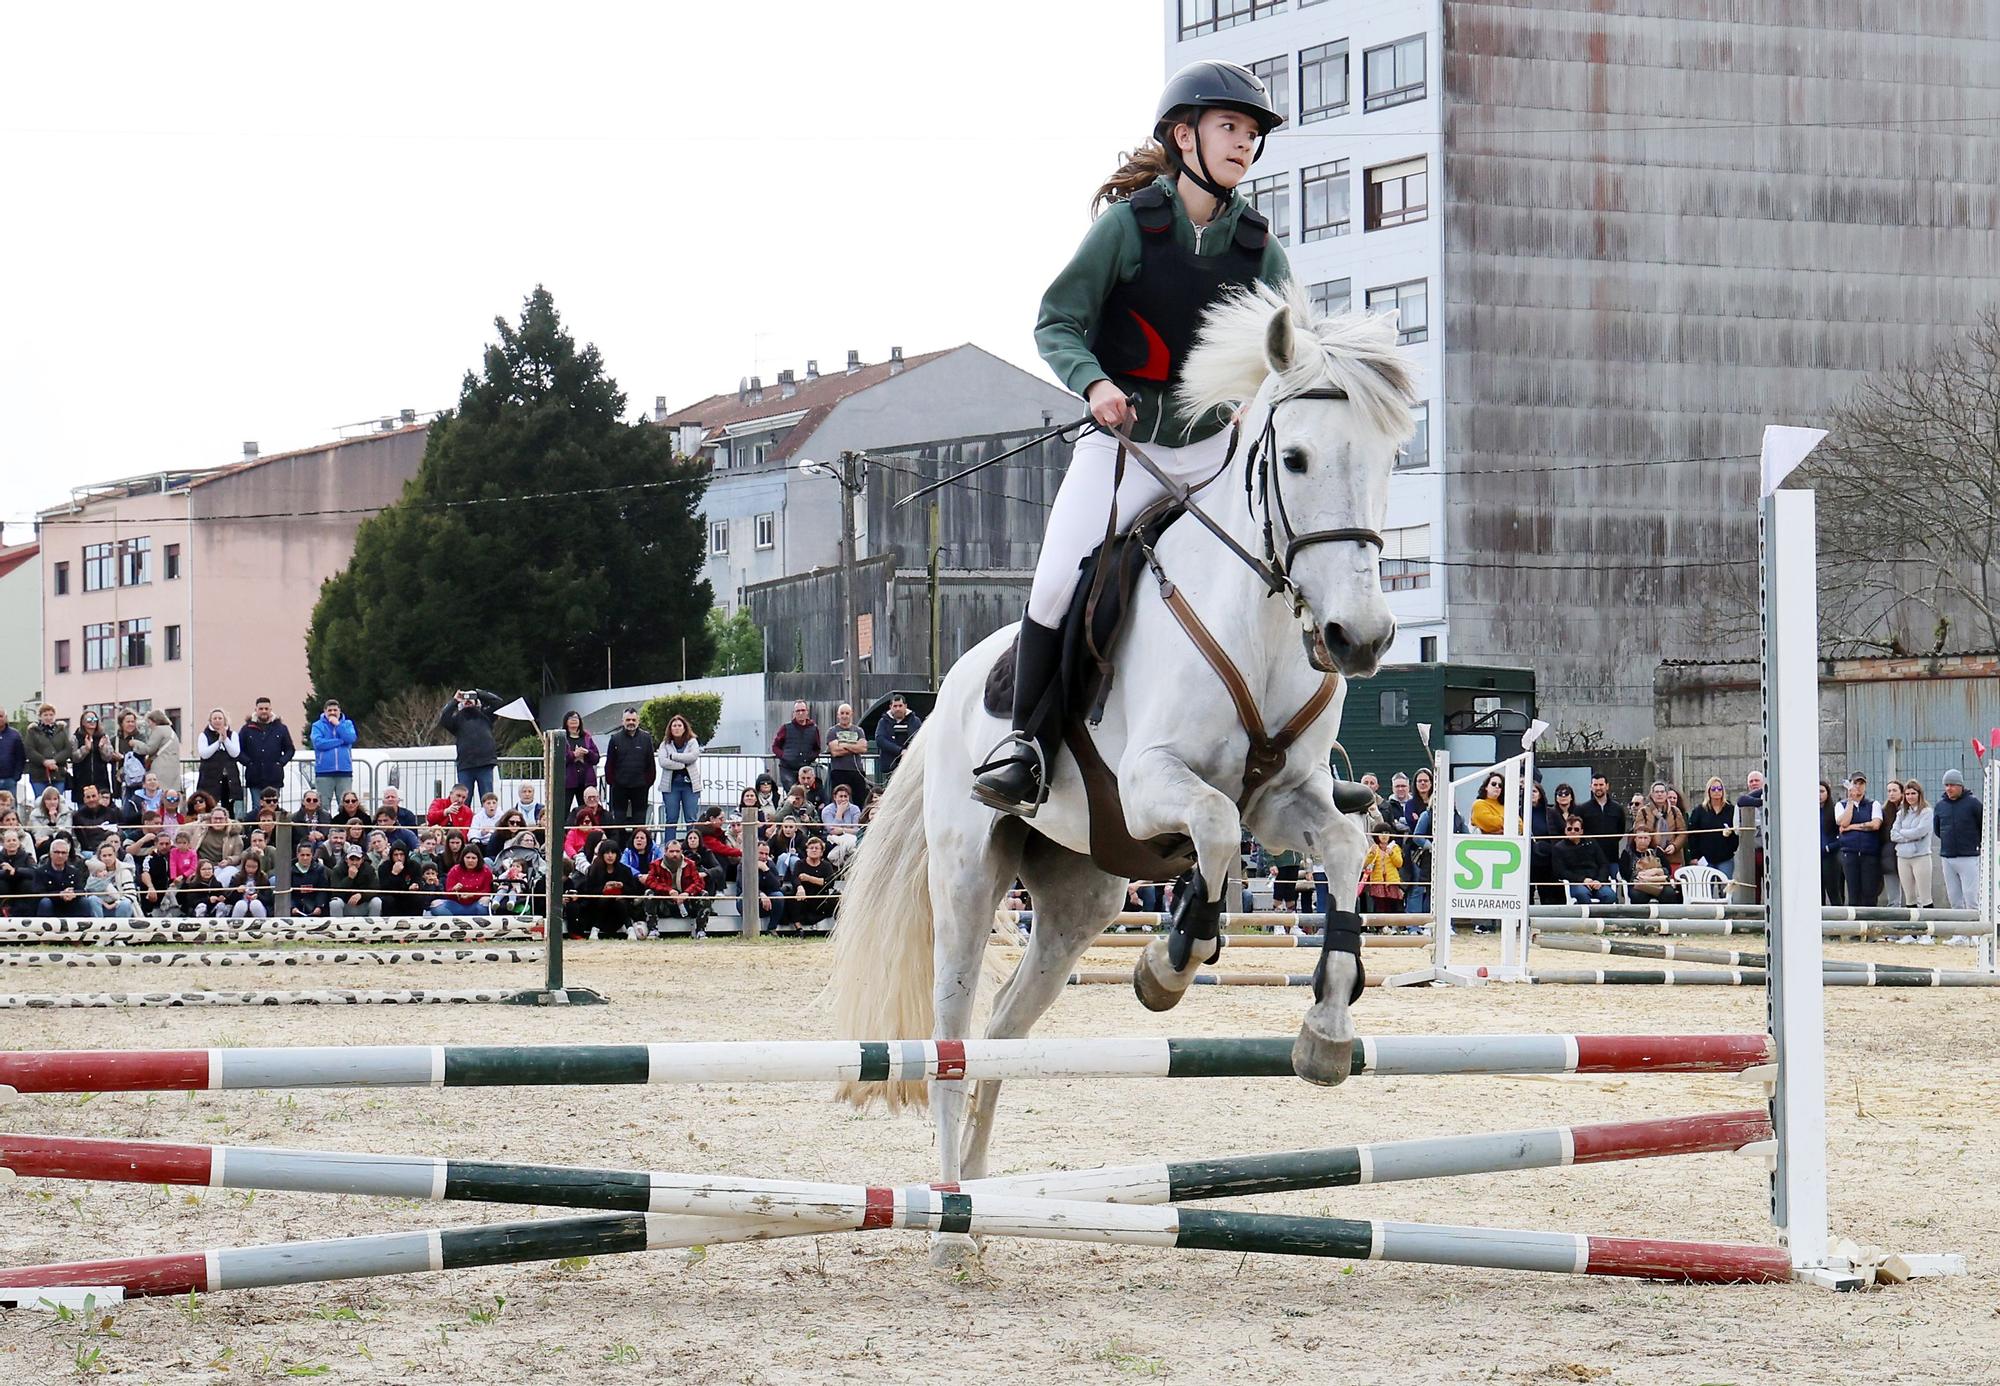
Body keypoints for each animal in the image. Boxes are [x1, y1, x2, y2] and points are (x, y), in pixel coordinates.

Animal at [820, 282, 1416, 1240]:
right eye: (1293, 459)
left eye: (1388, 459)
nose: (1357, 639)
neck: (1257, 621)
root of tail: (941, 699)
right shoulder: (1151, 787)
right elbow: (1214, 830)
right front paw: (1169, 963)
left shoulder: (1286, 798)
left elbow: (1342, 848)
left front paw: (1326, 1025)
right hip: (968, 878)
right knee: (953, 1036)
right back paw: (946, 1215)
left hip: (1078, 902)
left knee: (1001, 1034)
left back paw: (978, 1198)